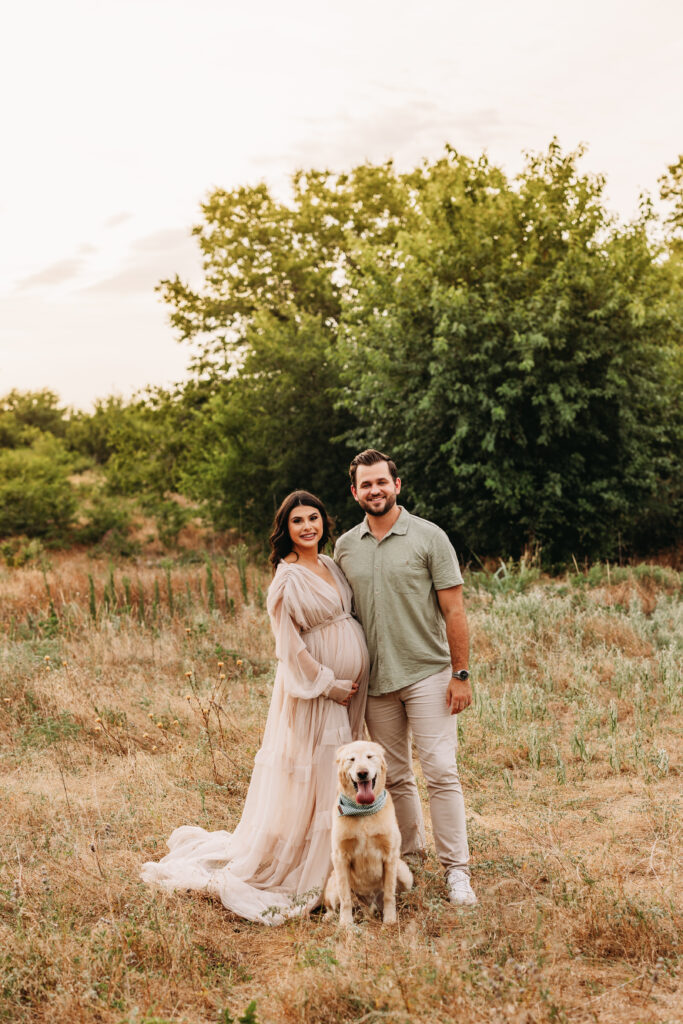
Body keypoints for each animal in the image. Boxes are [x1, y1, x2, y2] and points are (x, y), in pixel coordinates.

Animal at [325, 741, 413, 925]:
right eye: (351, 759)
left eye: (369, 756)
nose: (362, 773)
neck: (363, 812)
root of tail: (369, 906)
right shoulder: (340, 856)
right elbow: (345, 897)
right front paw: (346, 924)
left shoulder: (390, 855)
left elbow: (389, 894)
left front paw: (390, 920)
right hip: (332, 883)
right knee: (335, 904)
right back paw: (332, 916)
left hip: (404, 873)